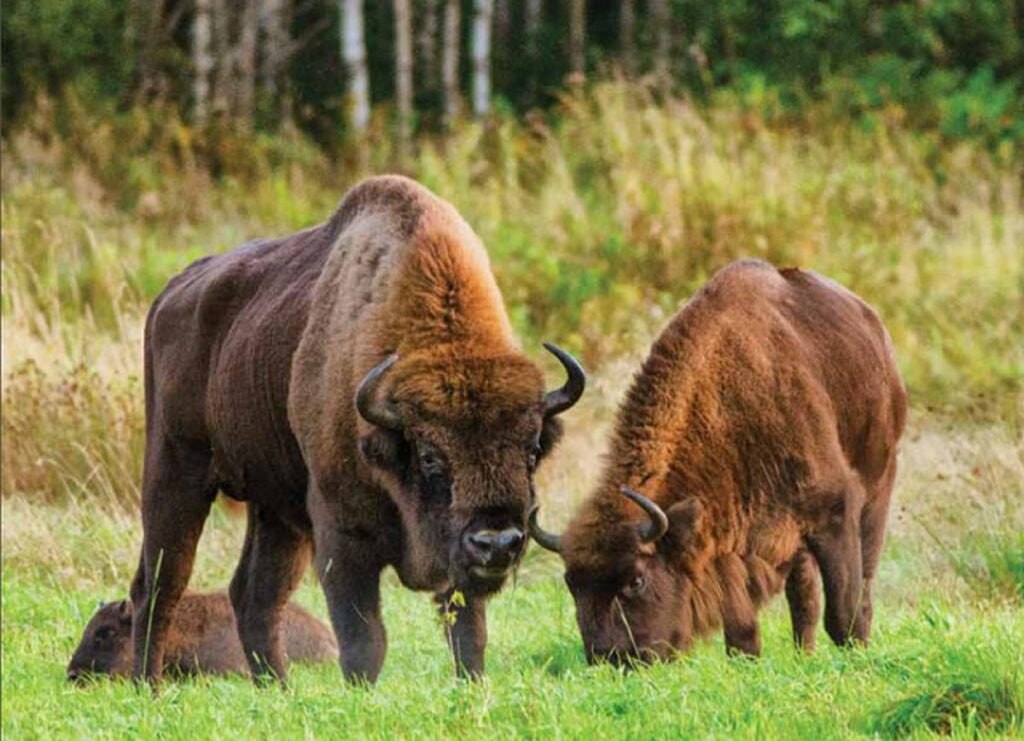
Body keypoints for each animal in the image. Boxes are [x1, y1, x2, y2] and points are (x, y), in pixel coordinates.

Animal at [134, 173, 585, 683]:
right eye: (429, 455)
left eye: (531, 450)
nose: (498, 542)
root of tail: (171, 293)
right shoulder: (342, 538)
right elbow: (364, 640)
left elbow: (468, 633)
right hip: (175, 472)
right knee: (160, 586)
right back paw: (149, 687)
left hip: (275, 509)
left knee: (254, 597)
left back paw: (279, 689)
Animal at [532, 258, 909, 667]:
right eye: (573, 585)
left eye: (636, 580)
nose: (610, 658)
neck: (728, 403)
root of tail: (875, 328)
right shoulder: (730, 538)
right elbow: (743, 625)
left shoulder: (834, 513)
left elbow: (844, 612)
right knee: (803, 596)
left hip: (877, 487)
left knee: (860, 580)